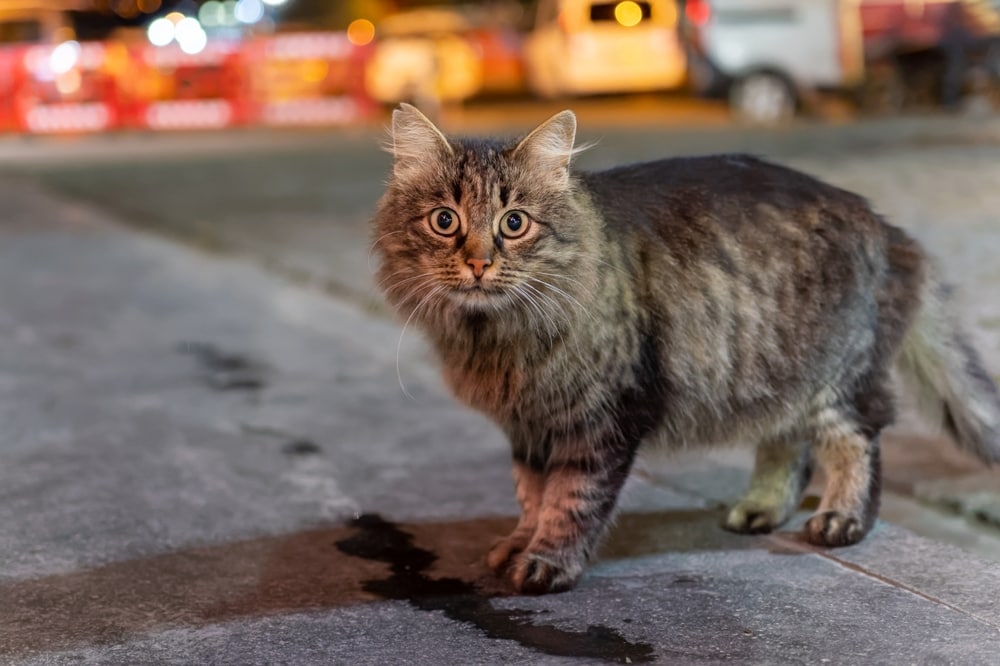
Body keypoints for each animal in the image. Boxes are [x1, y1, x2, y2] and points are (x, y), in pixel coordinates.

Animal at [372, 104, 1000, 592]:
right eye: (445, 220)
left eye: (514, 223)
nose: (478, 263)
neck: (495, 337)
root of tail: (883, 224)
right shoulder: (529, 425)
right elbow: (532, 493)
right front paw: (520, 541)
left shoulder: (604, 417)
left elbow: (571, 499)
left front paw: (548, 560)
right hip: (770, 366)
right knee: (790, 444)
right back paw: (763, 507)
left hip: (833, 377)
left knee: (858, 439)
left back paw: (842, 517)